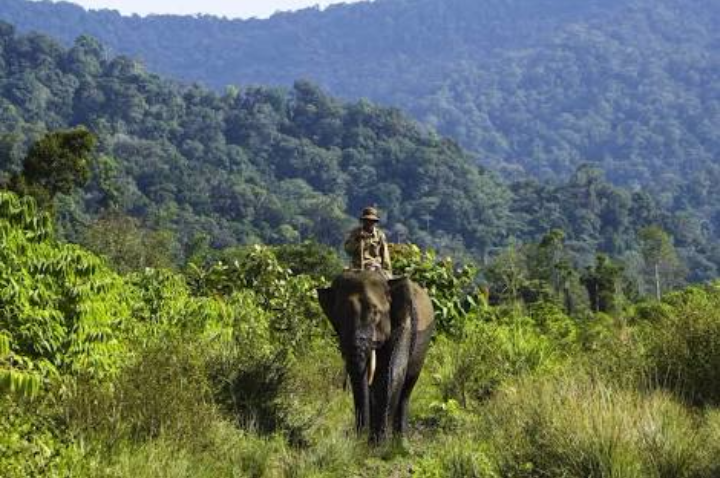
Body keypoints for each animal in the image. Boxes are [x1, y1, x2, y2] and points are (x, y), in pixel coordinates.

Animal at [320, 270, 434, 442]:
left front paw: (379, 444)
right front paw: (368, 441)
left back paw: (401, 441)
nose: (359, 438)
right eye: (338, 318)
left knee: (407, 388)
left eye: (376, 313)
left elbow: (392, 371)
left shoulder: (403, 324)